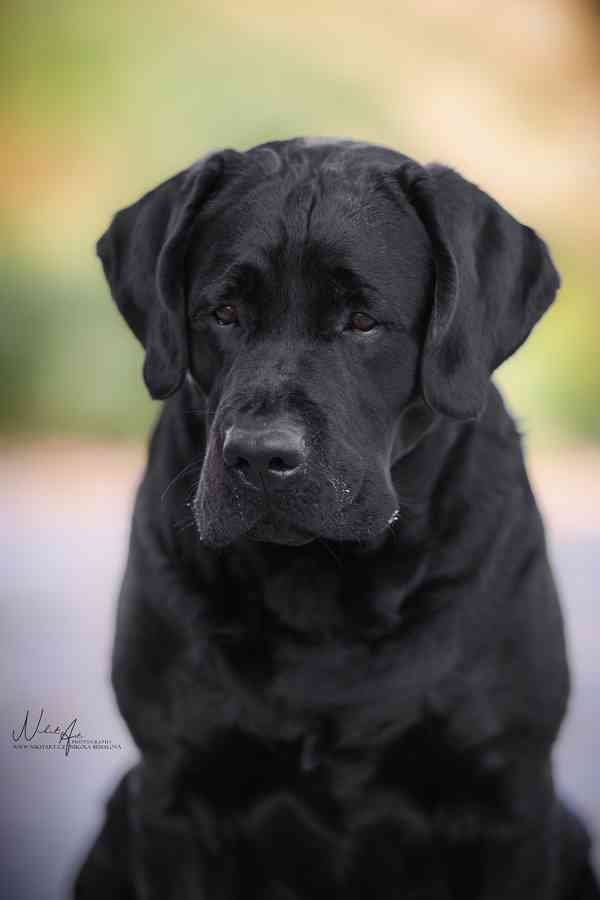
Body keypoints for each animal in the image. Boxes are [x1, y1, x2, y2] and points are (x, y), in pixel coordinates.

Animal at [72, 137, 596, 896]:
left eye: (362, 321)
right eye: (223, 312)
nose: (260, 456)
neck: (322, 595)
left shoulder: (508, 796)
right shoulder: (174, 789)